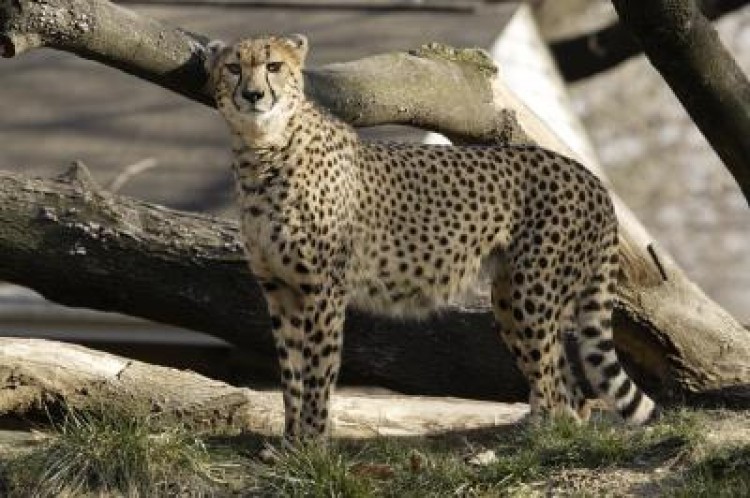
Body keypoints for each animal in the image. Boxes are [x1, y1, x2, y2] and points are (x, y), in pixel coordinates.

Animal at [206, 35, 656, 440]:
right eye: (233, 67)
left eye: (273, 66)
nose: (252, 94)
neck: (262, 150)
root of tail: (589, 176)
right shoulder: (279, 290)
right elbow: (291, 376)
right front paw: (288, 445)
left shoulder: (323, 290)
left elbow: (317, 373)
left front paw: (312, 447)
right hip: (510, 296)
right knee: (567, 385)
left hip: (532, 293)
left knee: (554, 382)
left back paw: (543, 437)